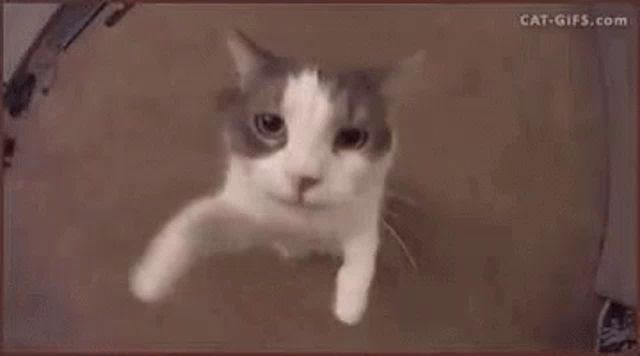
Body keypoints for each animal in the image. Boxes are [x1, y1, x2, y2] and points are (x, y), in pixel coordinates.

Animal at [129, 29, 424, 326]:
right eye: (270, 124)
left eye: (351, 137)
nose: (304, 178)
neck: (300, 225)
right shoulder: (247, 214)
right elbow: (195, 220)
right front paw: (150, 279)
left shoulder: (362, 211)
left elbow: (362, 249)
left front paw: (349, 305)